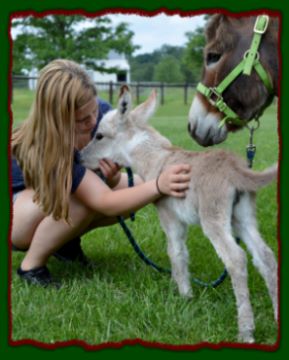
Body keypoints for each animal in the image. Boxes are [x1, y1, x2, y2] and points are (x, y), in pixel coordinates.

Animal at [79, 87, 276, 344]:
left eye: (99, 136)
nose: (79, 157)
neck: (155, 159)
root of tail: (234, 167)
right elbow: (178, 253)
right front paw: (178, 288)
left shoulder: (169, 215)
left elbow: (176, 251)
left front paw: (184, 296)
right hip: (243, 218)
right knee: (265, 257)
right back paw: (277, 317)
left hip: (213, 219)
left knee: (236, 259)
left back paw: (245, 331)